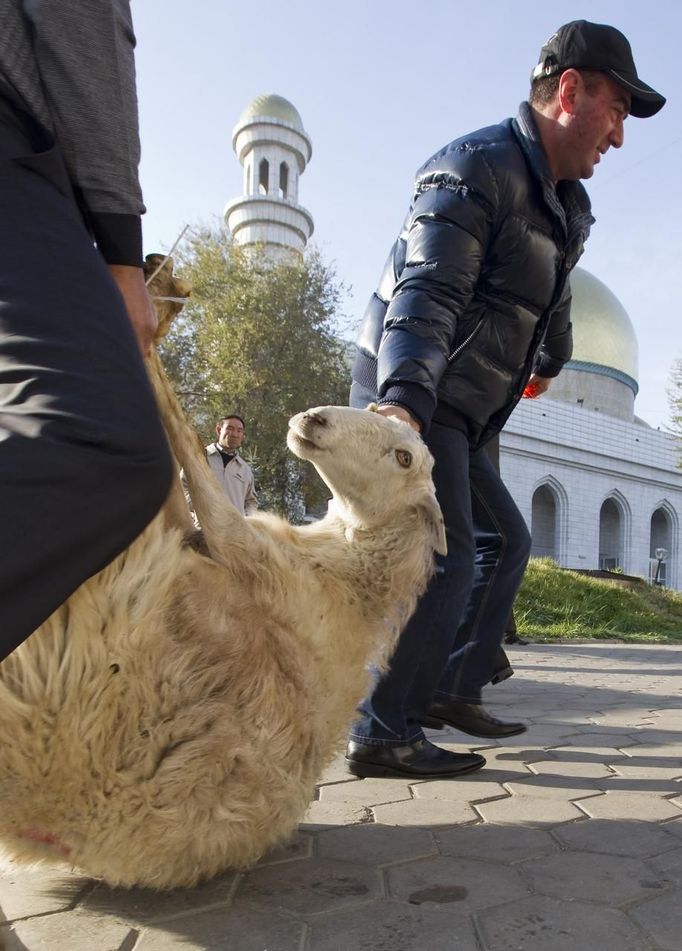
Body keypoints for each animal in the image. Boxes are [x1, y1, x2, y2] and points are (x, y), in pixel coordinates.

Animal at [0, 256, 444, 888]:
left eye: (404, 457)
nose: (312, 419)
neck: (349, 577)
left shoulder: (237, 546)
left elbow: (184, 444)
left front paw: (150, 322)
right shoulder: (209, 541)